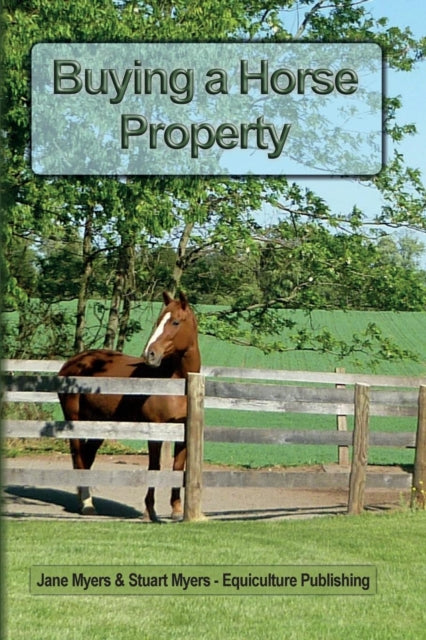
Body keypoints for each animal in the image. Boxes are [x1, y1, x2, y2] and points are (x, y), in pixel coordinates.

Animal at [58, 291, 201, 522]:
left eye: (175, 322)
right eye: (158, 321)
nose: (150, 354)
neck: (176, 384)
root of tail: (73, 363)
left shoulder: (183, 433)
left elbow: (178, 468)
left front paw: (177, 510)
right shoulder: (155, 430)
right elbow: (154, 467)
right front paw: (149, 511)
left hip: (99, 423)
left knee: (87, 457)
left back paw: (83, 498)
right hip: (75, 420)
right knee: (79, 456)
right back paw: (87, 503)